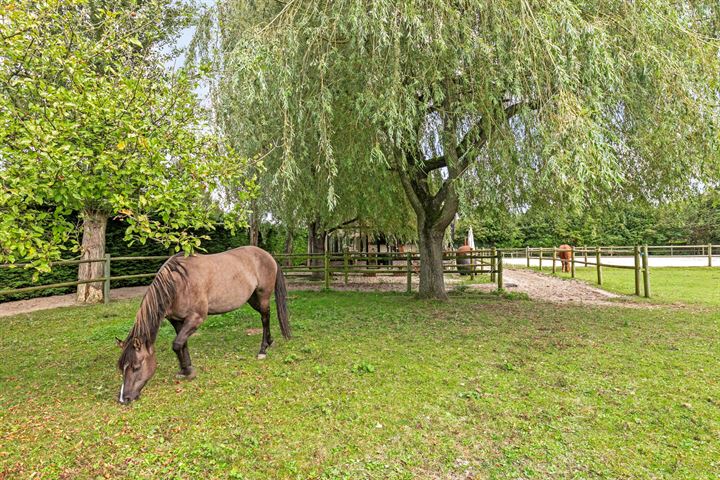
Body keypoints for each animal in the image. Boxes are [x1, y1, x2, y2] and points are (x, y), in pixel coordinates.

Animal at [115, 248, 290, 404]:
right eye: (121, 367)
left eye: (136, 367)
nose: (124, 399)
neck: (178, 283)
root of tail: (267, 255)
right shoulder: (177, 321)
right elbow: (182, 344)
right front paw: (185, 369)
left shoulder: (196, 318)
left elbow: (177, 344)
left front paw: (188, 371)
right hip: (252, 298)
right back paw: (270, 342)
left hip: (263, 296)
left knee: (265, 318)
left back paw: (263, 350)